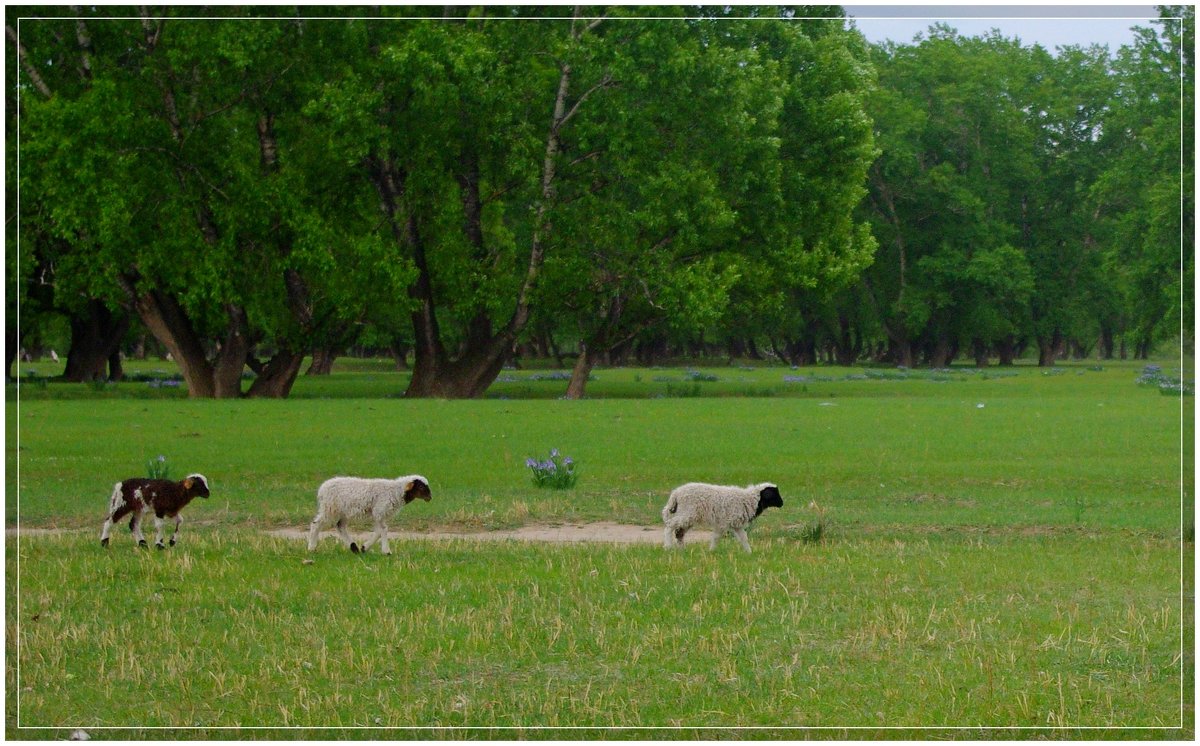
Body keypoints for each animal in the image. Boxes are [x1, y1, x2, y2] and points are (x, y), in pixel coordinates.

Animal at [304, 479, 432, 556]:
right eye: (421, 487)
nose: (430, 497)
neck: (396, 491)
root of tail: (321, 489)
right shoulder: (379, 511)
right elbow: (384, 530)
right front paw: (387, 551)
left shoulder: (378, 515)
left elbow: (379, 531)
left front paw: (365, 547)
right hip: (330, 509)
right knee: (316, 524)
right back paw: (311, 548)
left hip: (343, 512)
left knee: (340, 526)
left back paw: (354, 548)